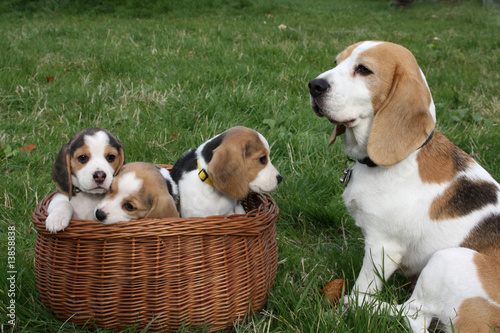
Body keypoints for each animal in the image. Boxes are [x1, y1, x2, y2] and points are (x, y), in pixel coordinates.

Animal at [308, 41, 500, 332]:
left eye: (364, 70)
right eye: (336, 62)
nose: (314, 85)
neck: (406, 155)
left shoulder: (383, 246)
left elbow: (365, 285)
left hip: (450, 260)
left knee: (409, 313)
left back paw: (346, 306)